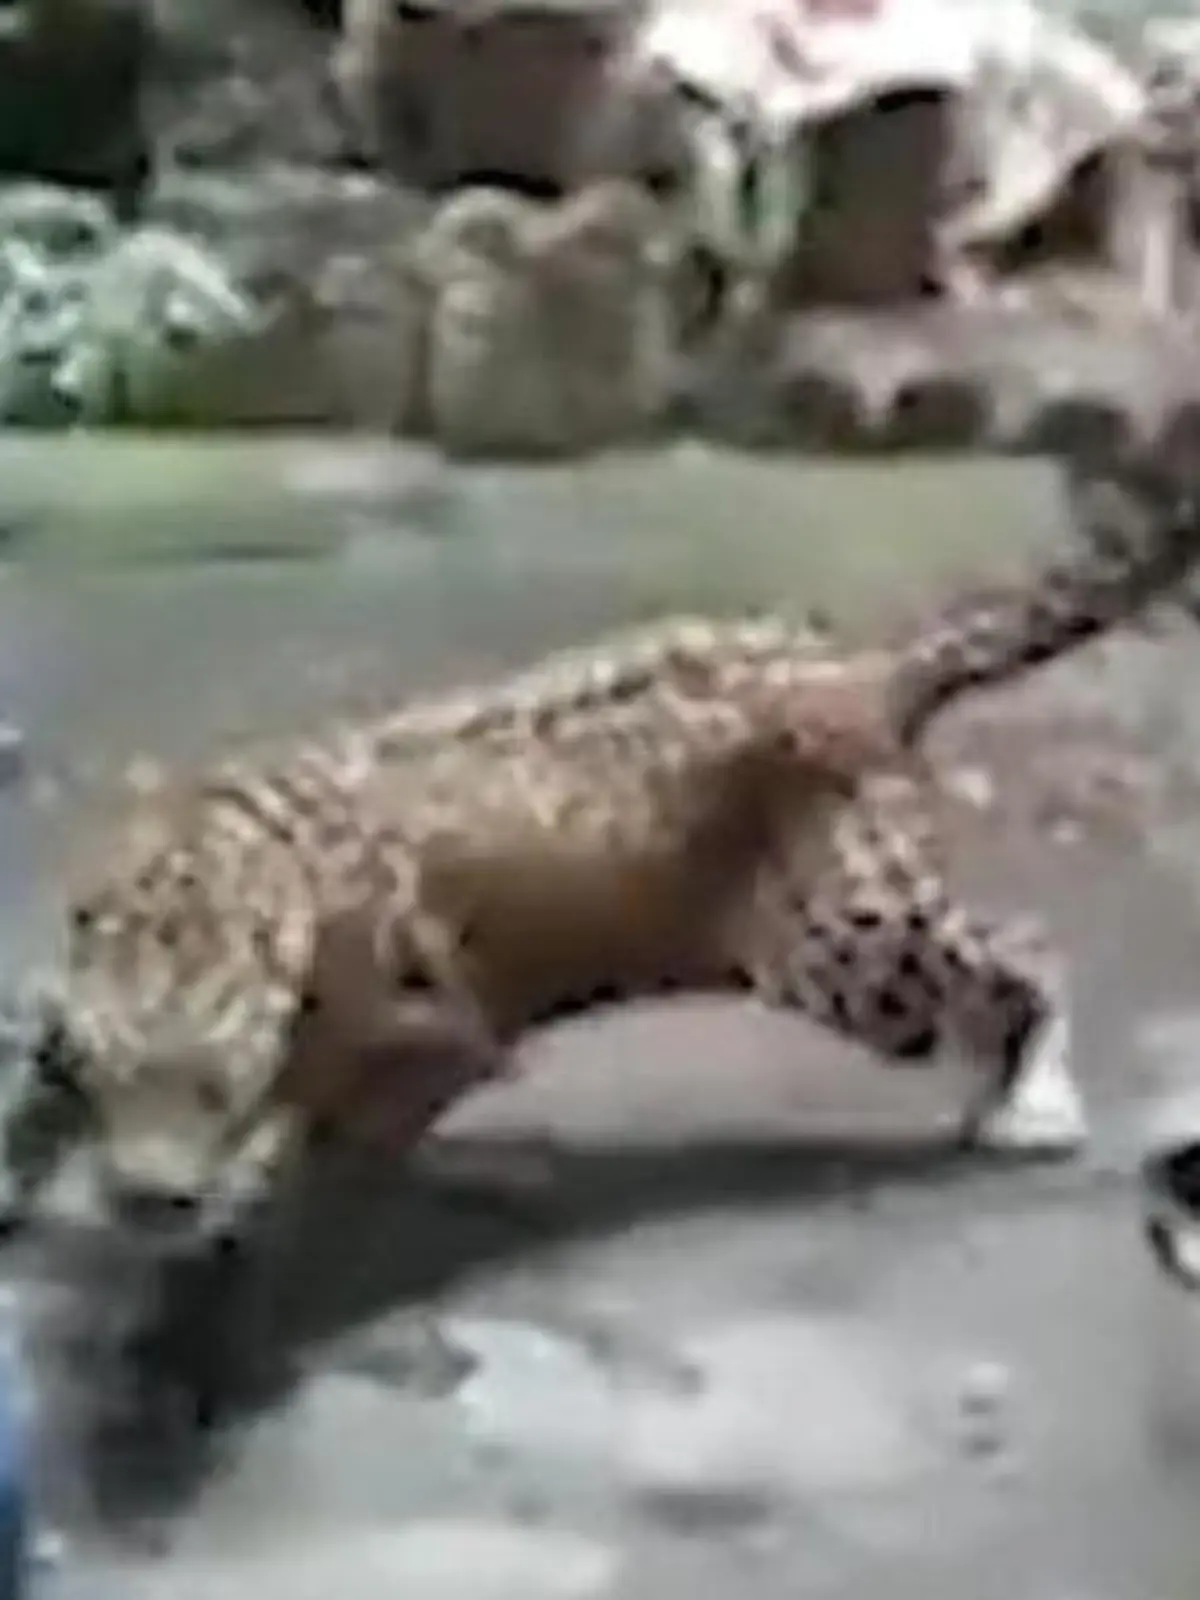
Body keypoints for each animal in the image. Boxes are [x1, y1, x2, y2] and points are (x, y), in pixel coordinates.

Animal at [8, 453, 1200, 1255]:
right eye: (117, 1076)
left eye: (215, 1084)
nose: (148, 1198)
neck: (201, 872)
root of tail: (852, 663)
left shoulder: (442, 1037)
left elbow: (334, 1127)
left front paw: (255, 1190)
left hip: (848, 947)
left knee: (1019, 953)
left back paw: (1032, 1104)